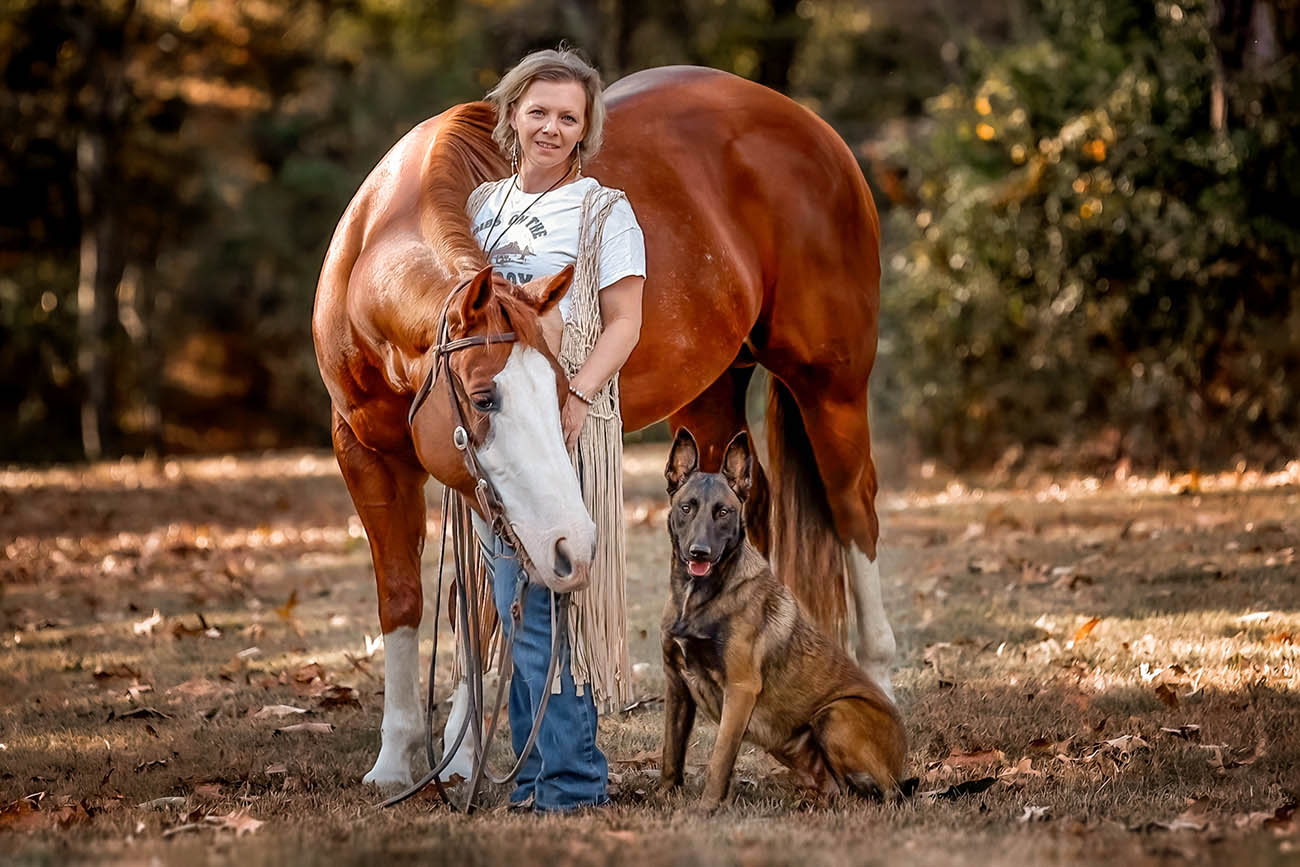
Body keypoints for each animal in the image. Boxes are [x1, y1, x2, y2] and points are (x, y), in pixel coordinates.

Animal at [660, 431, 904, 811]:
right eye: (687, 507)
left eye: (723, 512)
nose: (699, 552)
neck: (697, 596)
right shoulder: (676, 685)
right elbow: (671, 753)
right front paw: (661, 795)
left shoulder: (740, 689)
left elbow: (720, 758)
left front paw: (707, 807)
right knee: (842, 788)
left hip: (835, 713)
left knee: (888, 792)